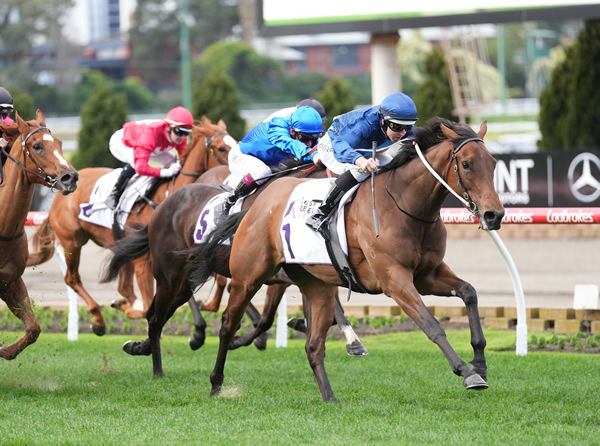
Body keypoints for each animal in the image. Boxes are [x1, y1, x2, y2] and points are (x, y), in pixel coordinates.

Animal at [0, 110, 78, 358]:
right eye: (37, 146)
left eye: (60, 144)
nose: (70, 177)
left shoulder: (10, 281)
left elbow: (34, 328)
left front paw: (6, 350)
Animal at [26, 116, 232, 336]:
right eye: (221, 148)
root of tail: (61, 190)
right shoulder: (144, 260)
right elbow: (149, 304)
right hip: (72, 241)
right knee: (71, 279)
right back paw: (99, 319)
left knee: (123, 288)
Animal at [185, 117, 504, 400]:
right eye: (466, 164)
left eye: (493, 164)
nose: (494, 215)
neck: (405, 204)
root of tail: (257, 202)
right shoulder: (394, 280)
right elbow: (432, 325)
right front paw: (467, 372)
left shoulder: (427, 274)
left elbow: (469, 293)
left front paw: (480, 362)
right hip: (249, 275)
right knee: (228, 323)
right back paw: (216, 380)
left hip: (310, 280)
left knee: (306, 336)